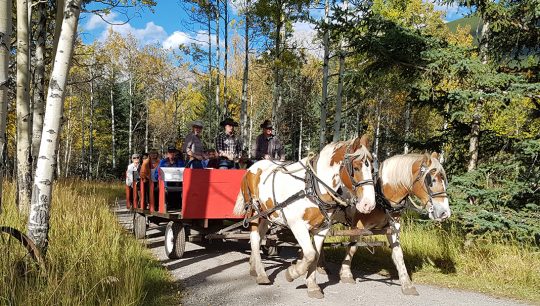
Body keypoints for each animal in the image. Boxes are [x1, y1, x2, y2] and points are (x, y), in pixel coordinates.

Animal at [234, 135, 378, 298]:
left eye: (372, 169)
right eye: (356, 167)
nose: (369, 204)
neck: (313, 188)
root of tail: (252, 167)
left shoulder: (322, 229)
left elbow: (316, 255)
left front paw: (312, 286)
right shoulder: (297, 225)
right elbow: (309, 254)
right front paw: (292, 272)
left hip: (267, 215)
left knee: (259, 238)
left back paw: (254, 268)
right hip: (254, 211)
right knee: (254, 238)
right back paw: (262, 274)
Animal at [338, 152, 452, 296]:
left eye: (443, 180)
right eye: (431, 181)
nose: (445, 213)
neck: (381, 195)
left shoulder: (393, 227)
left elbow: (398, 254)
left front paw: (407, 284)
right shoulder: (357, 226)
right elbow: (352, 248)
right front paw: (346, 274)